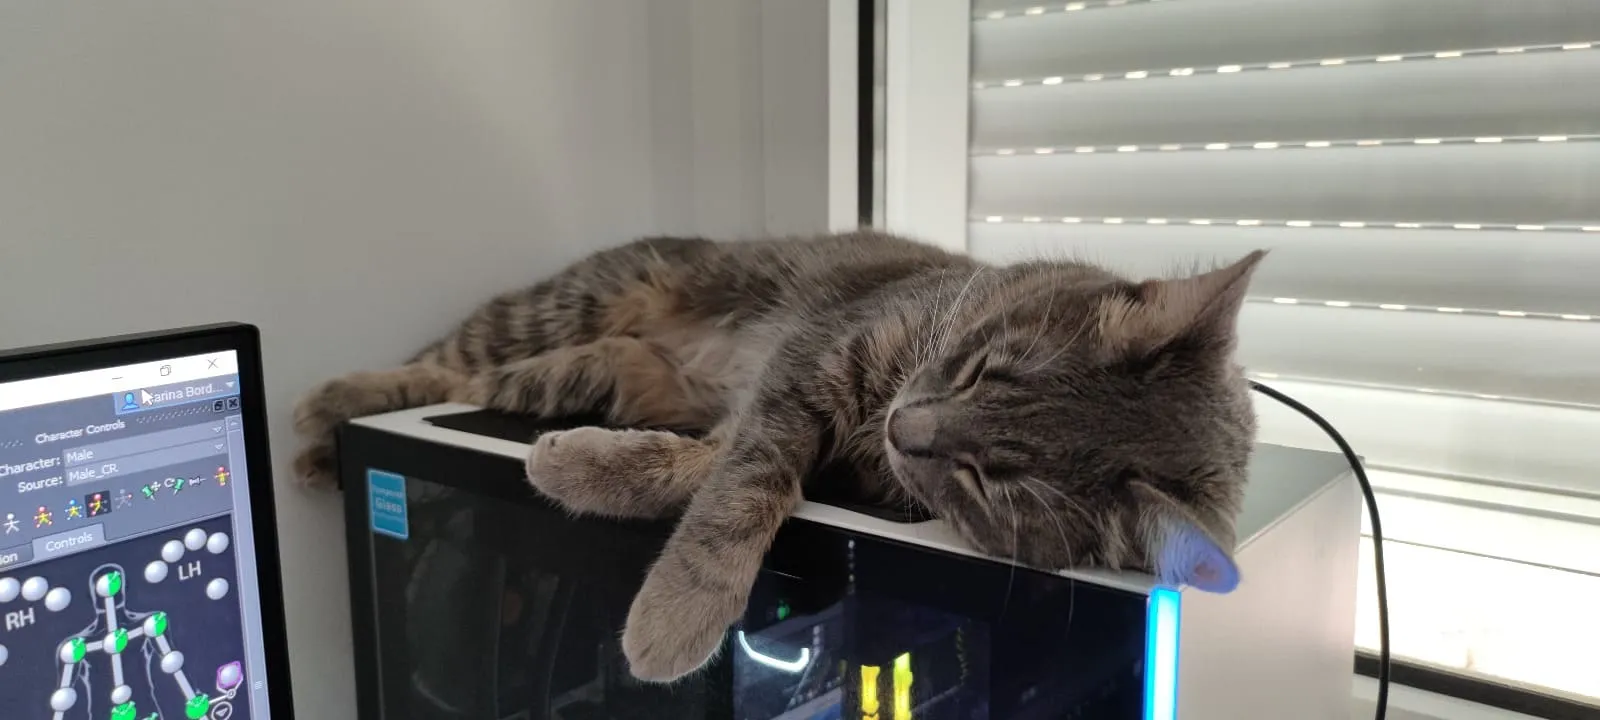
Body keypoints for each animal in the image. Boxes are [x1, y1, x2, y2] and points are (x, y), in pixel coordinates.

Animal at [288, 228, 1260, 681]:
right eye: (985, 369)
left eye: (991, 481)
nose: (908, 430)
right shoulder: (816, 361)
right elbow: (741, 487)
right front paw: (680, 610)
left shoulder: (783, 420)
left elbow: (715, 474)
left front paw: (578, 471)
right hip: (574, 305)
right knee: (439, 361)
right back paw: (324, 413)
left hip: (578, 370)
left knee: (481, 375)